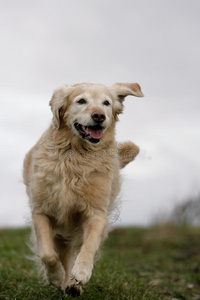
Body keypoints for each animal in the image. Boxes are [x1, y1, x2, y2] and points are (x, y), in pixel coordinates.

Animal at [23, 81, 142, 296]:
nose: (99, 116)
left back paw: (73, 284)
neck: (76, 156)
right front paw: (55, 276)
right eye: (81, 101)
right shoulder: (41, 211)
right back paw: (64, 281)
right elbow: (47, 254)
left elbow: (90, 245)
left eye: (106, 103)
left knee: (77, 249)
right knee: (61, 254)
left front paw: (82, 272)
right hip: (60, 232)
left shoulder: (96, 213)